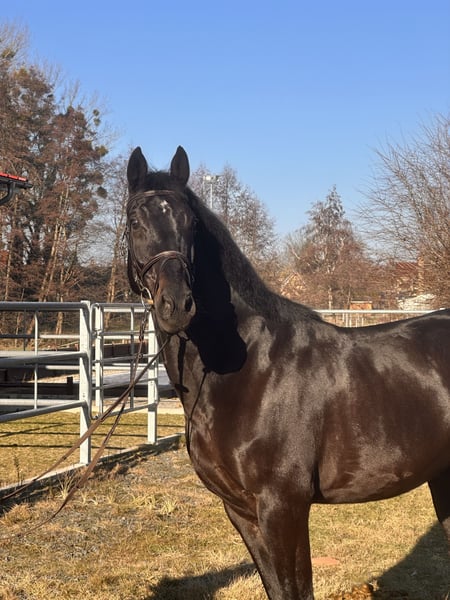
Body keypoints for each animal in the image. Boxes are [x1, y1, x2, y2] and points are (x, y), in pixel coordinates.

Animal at [126, 146, 450, 600]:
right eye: (134, 221)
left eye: (191, 224)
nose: (177, 304)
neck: (249, 371)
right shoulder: (241, 510)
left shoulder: (283, 506)